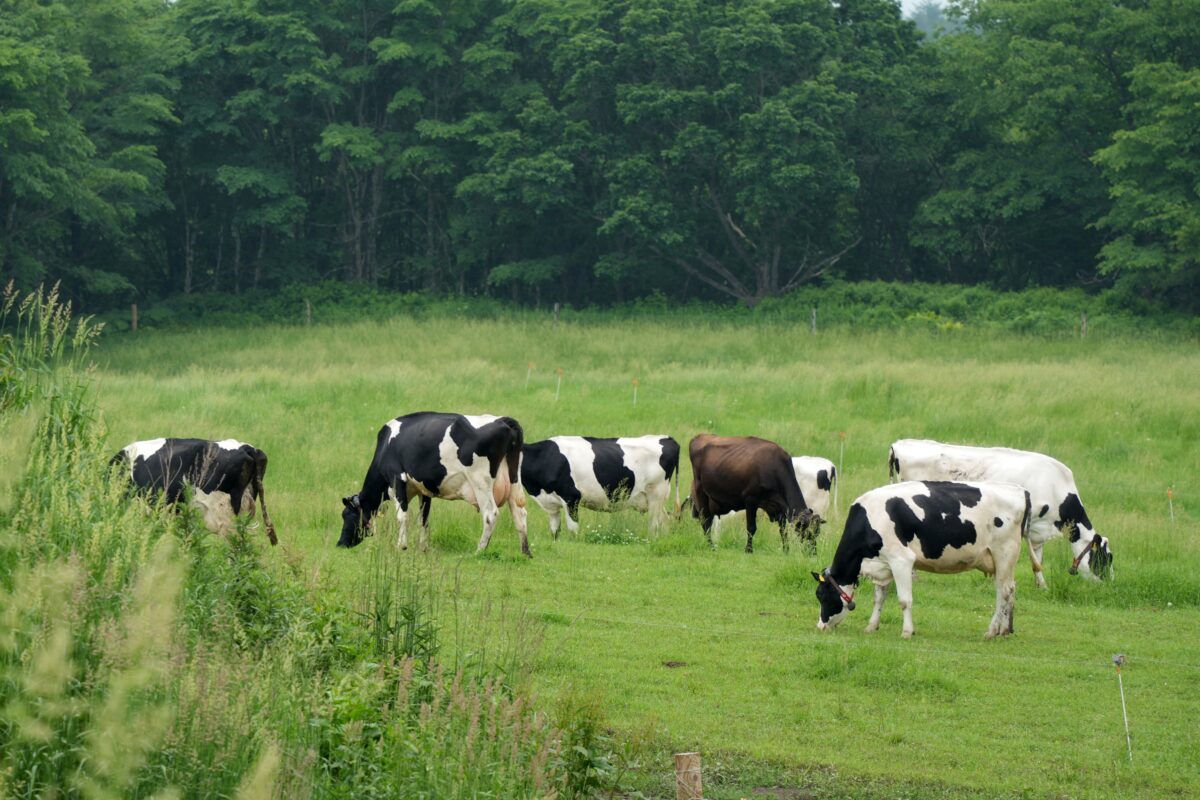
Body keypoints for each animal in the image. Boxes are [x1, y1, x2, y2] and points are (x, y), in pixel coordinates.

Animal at [336, 412, 528, 556]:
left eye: (347, 515)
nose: (340, 543)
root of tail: (502, 420)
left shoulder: (397, 478)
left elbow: (402, 515)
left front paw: (401, 546)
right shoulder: (424, 489)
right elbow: (424, 518)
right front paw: (423, 547)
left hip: (480, 481)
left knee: (490, 514)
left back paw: (480, 550)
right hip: (514, 481)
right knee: (520, 513)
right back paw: (525, 552)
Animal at [520, 434, 681, 534]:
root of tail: (667, 438)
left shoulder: (571, 498)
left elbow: (573, 530)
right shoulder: (551, 504)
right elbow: (554, 531)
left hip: (656, 494)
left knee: (654, 525)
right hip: (656, 500)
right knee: (665, 520)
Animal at [816, 482, 1032, 638]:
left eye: (822, 596)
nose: (820, 626)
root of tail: (1020, 490)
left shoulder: (901, 560)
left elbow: (904, 600)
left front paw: (907, 631)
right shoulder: (883, 564)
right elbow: (879, 597)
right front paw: (871, 626)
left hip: (1004, 553)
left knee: (1003, 592)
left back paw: (991, 631)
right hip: (1003, 562)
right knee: (1009, 589)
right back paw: (1004, 630)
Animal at [888, 438, 1108, 587]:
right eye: (1104, 558)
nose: (1108, 584)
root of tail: (899, 444)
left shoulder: (1038, 528)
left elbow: (1037, 556)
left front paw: (1041, 584)